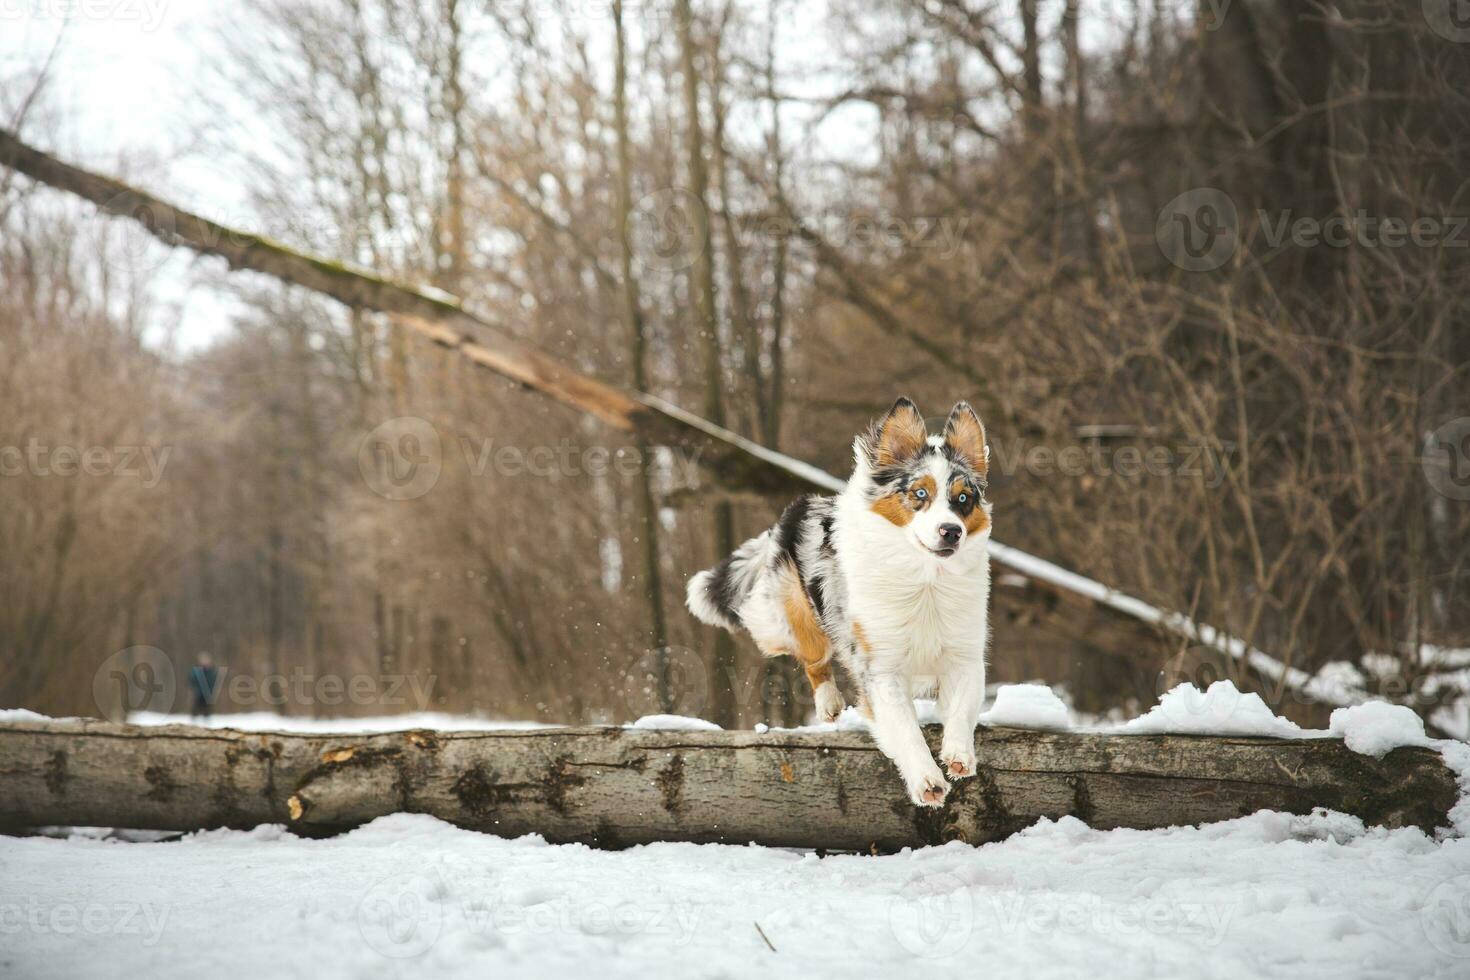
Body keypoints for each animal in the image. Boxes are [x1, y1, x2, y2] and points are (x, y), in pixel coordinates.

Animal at [685, 393, 987, 811]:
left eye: (963, 499)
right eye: (920, 494)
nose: (951, 532)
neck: (925, 579)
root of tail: (795, 510)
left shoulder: (964, 655)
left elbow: (961, 708)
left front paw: (959, 755)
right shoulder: (880, 668)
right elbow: (905, 729)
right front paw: (926, 781)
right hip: (796, 616)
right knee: (810, 657)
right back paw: (828, 703)